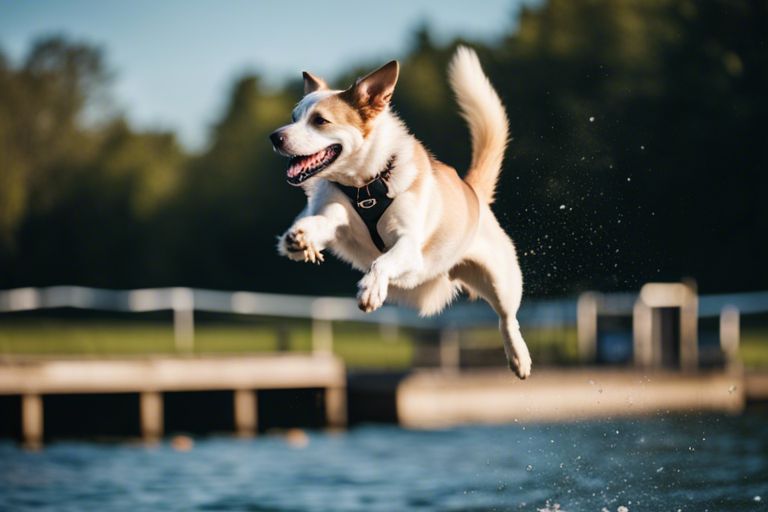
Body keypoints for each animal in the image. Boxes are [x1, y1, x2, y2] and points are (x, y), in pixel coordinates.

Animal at [272, 46, 532, 378]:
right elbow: (323, 222)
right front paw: (301, 238)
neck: (365, 185)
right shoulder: (335, 214)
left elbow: (382, 262)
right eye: (294, 118)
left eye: (320, 120)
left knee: (507, 318)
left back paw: (519, 358)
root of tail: (473, 192)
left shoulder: (408, 244)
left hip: (501, 280)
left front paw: (370, 288)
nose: (275, 136)